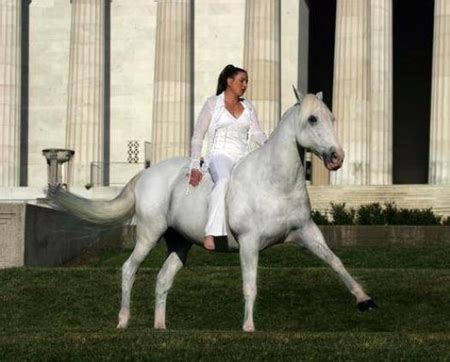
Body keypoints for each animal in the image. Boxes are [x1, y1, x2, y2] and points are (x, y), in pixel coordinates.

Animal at [47, 89, 376, 332]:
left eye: (331, 117)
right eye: (312, 119)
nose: (337, 157)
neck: (273, 182)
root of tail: (146, 174)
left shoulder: (307, 232)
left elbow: (336, 263)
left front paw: (365, 300)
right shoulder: (249, 243)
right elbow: (250, 285)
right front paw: (248, 327)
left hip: (179, 244)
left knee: (163, 280)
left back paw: (160, 327)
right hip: (148, 235)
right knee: (129, 269)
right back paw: (123, 321)